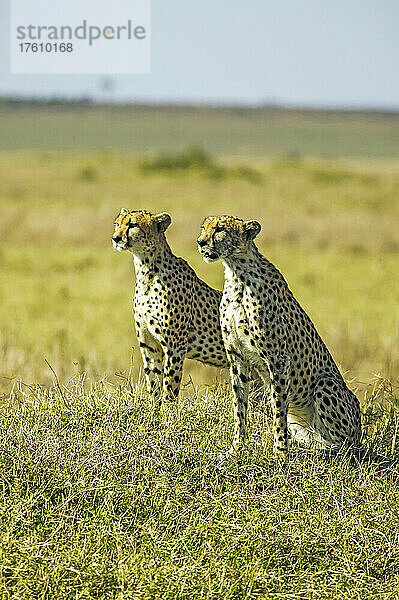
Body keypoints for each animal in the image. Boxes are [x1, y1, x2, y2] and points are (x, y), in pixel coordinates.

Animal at [112, 209, 228, 400]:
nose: (115, 238)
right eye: (117, 223)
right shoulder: (149, 343)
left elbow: (170, 383)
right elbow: (153, 381)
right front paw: (153, 407)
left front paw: (169, 408)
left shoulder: (175, 344)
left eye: (133, 225)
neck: (146, 270)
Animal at [197, 216, 362, 454]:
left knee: (347, 446)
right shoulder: (237, 357)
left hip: (326, 383)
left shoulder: (279, 360)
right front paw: (237, 446)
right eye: (204, 228)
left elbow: (278, 407)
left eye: (220, 229)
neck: (237, 273)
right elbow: (239, 404)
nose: (200, 242)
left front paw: (279, 452)